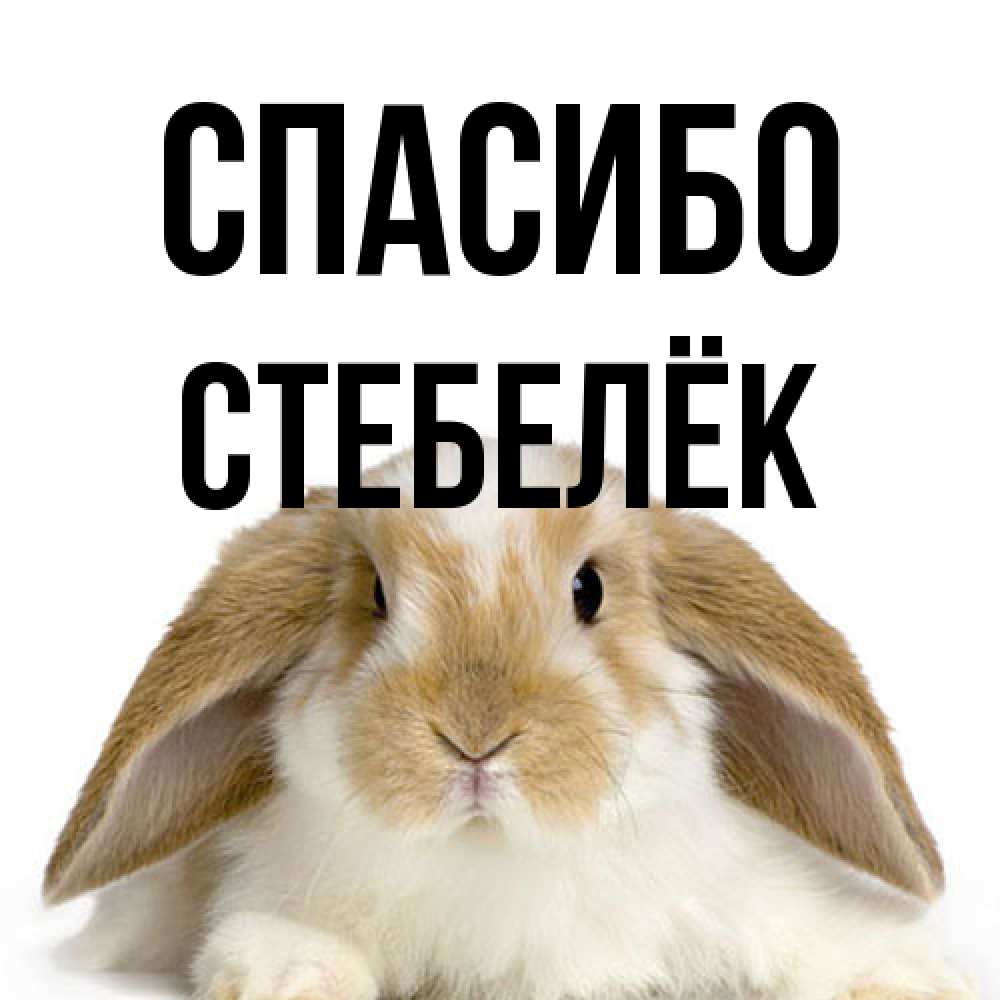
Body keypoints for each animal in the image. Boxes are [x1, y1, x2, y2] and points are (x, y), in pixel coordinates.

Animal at [45, 441, 975, 1000]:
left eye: (589, 590)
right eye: (376, 596)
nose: (475, 737)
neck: (495, 858)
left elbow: (816, 939)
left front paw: (908, 978)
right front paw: (289, 976)